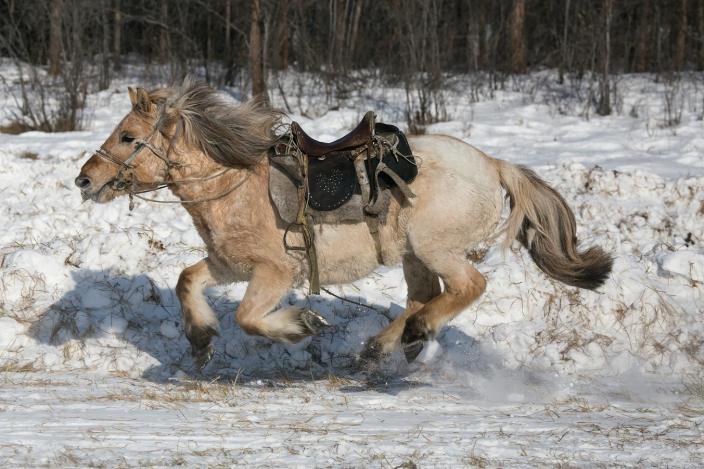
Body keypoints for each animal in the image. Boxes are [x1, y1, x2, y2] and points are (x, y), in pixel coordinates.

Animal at [75, 78, 612, 372]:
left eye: (128, 136)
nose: (84, 180)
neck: (234, 184)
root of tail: (493, 165)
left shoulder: (274, 274)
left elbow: (248, 318)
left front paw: (301, 325)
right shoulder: (228, 265)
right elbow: (187, 281)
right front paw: (202, 340)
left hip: (435, 247)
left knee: (465, 288)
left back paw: (415, 334)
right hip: (413, 255)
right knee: (423, 296)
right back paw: (379, 349)